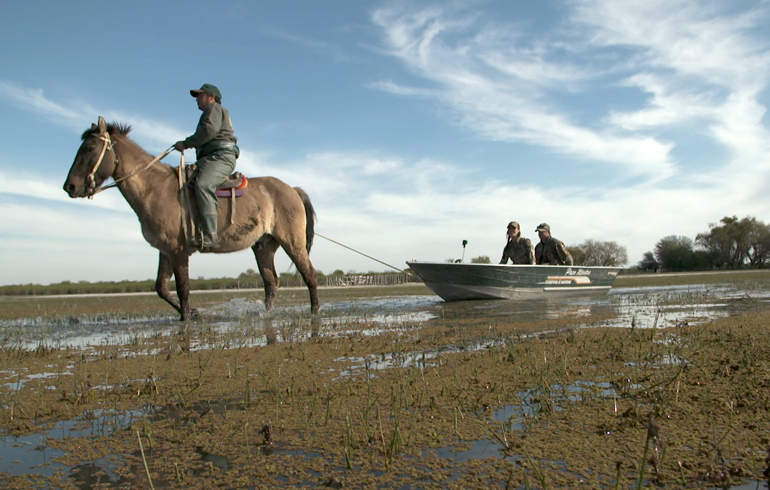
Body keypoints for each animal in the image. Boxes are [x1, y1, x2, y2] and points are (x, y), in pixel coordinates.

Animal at [62, 117, 320, 320]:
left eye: (90, 148)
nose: (70, 186)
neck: (155, 188)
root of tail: (292, 189)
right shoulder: (166, 250)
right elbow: (161, 288)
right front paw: (194, 313)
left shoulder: (179, 250)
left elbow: (182, 288)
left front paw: (187, 318)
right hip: (264, 246)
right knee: (271, 283)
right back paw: (264, 314)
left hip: (292, 242)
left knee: (309, 274)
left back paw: (315, 311)